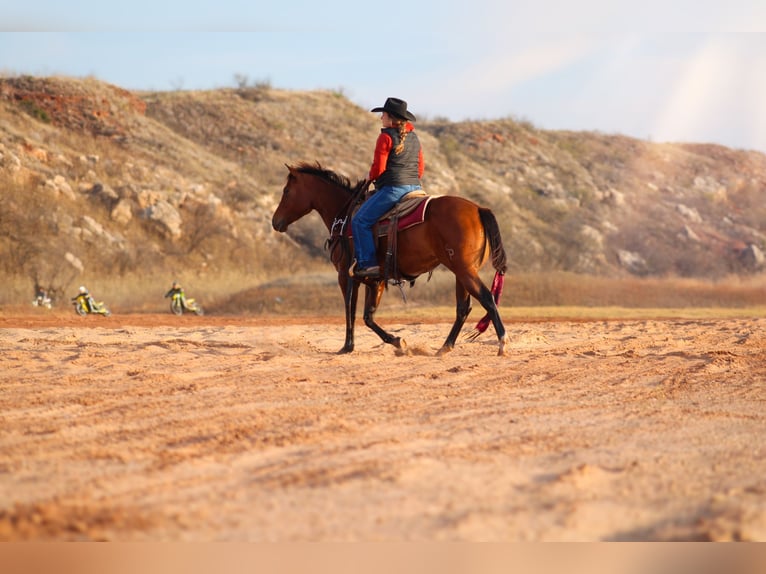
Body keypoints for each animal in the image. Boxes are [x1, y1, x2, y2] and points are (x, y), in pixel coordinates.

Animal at [271, 162, 510, 356]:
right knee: (463, 308)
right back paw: (445, 347)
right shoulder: (375, 280)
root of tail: (478, 209)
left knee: (486, 298)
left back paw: (502, 342)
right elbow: (368, 316)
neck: (346, 216)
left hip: (464, 270)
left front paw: (347, 347)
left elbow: (350, 309)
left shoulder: (346, 275)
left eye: (286, 191)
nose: (275, 221)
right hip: (461, 272)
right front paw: (397, 341)